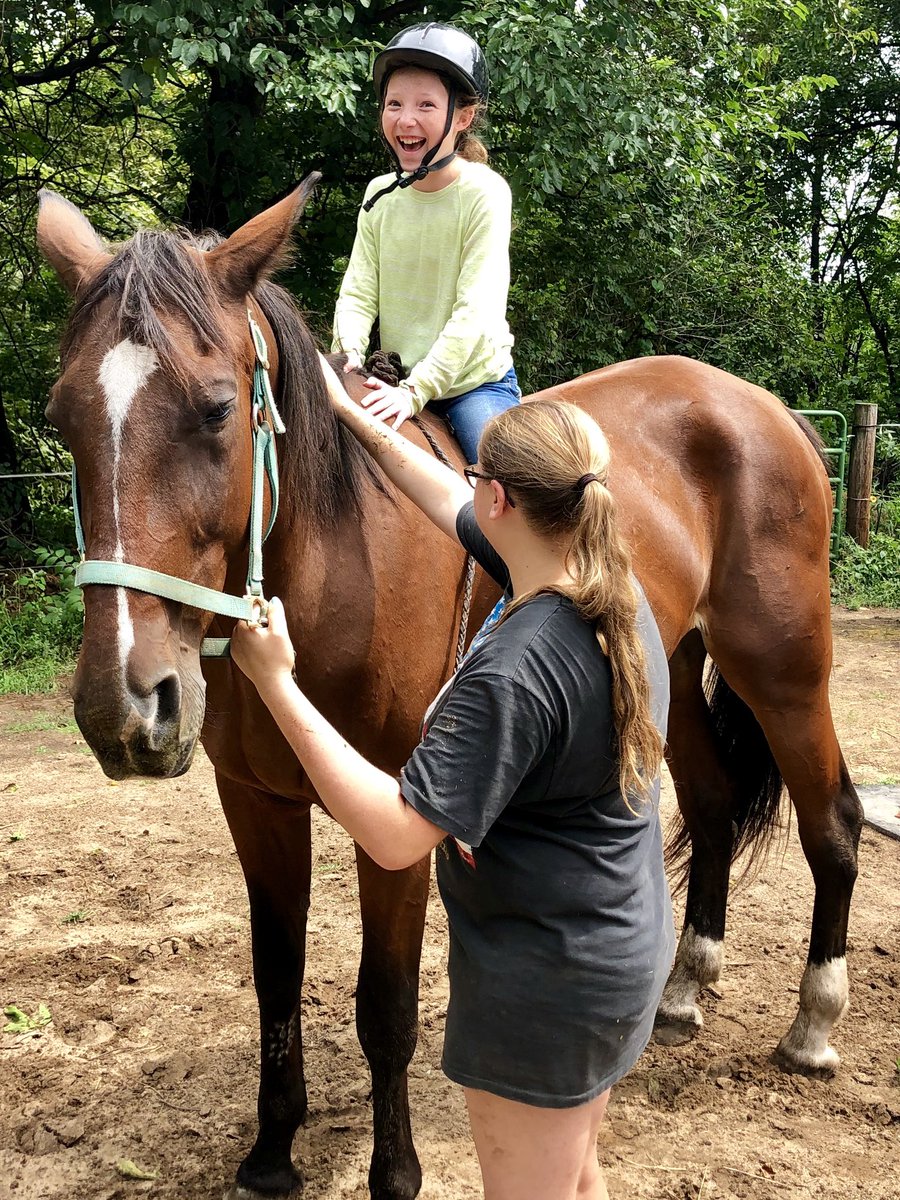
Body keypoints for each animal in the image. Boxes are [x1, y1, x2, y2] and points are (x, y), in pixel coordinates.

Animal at [36, 179, 862, 1200]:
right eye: (63, 418)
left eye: (217, 409)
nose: (122, 707)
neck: (339, 552)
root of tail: (767, 408)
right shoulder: (257, 803)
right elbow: (275, 976)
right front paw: (272, 1151)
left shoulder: (399, 815)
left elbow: (385, 1002)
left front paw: (395, 1172)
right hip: (675, 665)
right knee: (710, 808)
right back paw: (681, 992)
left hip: (783, 668)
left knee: (832, 821)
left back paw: (814, 1022)